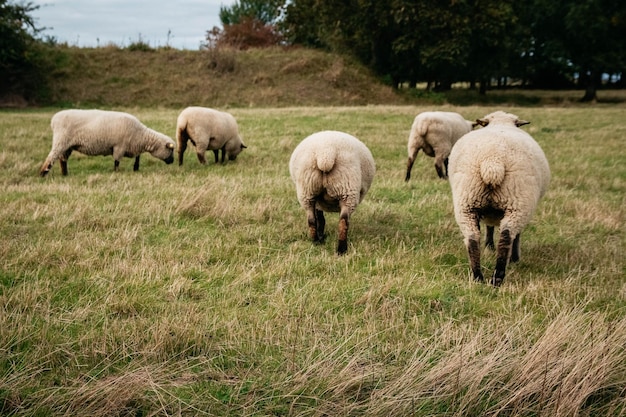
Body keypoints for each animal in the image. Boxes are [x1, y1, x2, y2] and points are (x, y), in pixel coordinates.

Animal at [39, 109, 176, 176]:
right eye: (171, 149)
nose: (172, 161)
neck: (141, 136)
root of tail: (54, 119)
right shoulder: (119, 147)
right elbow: (117, 161)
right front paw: (116, 172)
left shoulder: (132, 147)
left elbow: (138, 157)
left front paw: (136, 168)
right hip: (61, 141)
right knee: (52, 157)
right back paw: (43, 173)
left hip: (67, 145)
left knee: (63, 160)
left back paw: (65, 174)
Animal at [446, 109, 548, 286]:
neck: (501, 123)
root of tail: (493, 162)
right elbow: (516, 234)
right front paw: (514, 258)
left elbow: (489, 226)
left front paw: (488, 246)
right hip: (517, 202)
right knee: (507, 236)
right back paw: (498, 277)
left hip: (466, 202)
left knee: (472, 238)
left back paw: (478, 276)